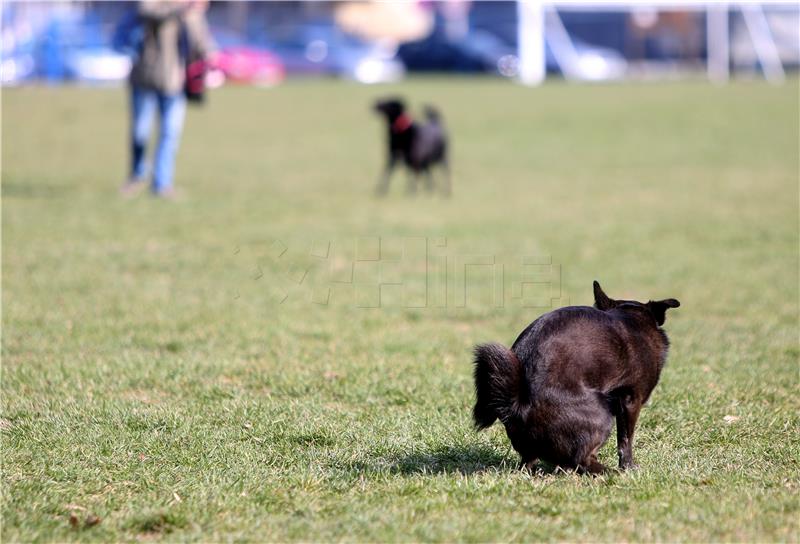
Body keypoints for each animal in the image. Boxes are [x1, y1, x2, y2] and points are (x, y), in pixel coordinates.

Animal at [472, 282, 680, 474]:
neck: (631, 317)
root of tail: (519, 405)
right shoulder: (631, 400)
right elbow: (625, 440)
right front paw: (628, 468)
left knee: (529, 463)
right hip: (602, 416)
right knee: (582, 460)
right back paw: (606, 472)